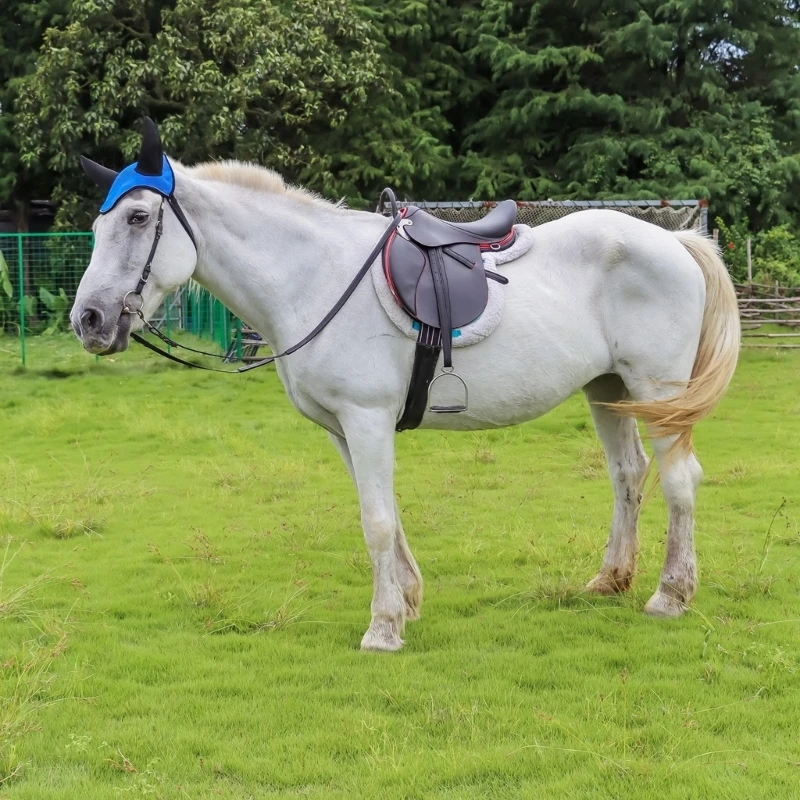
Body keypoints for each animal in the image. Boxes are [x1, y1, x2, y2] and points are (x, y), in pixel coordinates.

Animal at [72, 158, 740, 648]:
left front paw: (384, 627)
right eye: (99, 227)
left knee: (679, 479)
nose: (89, 320)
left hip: (657, 392)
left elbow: (375, 521)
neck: (311, 275)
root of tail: (676, 242)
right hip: (608, 390)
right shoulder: (344, 429)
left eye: (138, 217)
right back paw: (610, 580)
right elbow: (385, 514)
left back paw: (670, 595)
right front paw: (409, 600)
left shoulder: (366, 418)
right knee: (628, 475)